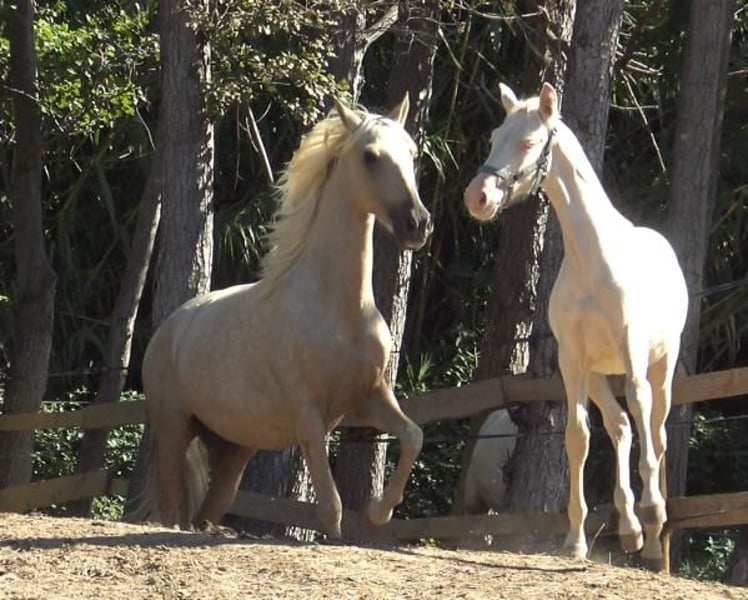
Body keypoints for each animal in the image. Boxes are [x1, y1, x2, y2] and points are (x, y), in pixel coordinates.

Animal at [129, 96, 432, 540]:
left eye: (411, 153)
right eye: (370, 156)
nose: (417, 224)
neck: (339, 311)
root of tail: (168, 330)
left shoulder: (370, 398)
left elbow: (413, 435)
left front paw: (379, 512)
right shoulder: (309, 417)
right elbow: (331, 506)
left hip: (233, 448)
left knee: (206, 511)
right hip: (173, 429)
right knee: (171, 510)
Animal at [463, 82, 688, 570]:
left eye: (528, 142)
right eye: (494, 137)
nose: (478, 198)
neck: (593, 259)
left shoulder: (633, 356)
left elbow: (643, 418)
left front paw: (652, 511)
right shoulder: (572, 362)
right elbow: (578, 438)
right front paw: (575, 540)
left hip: (661, 365)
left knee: (655, 429)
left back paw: (653, 530)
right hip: (600, 375)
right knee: (620, 427)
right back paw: (630, 530)